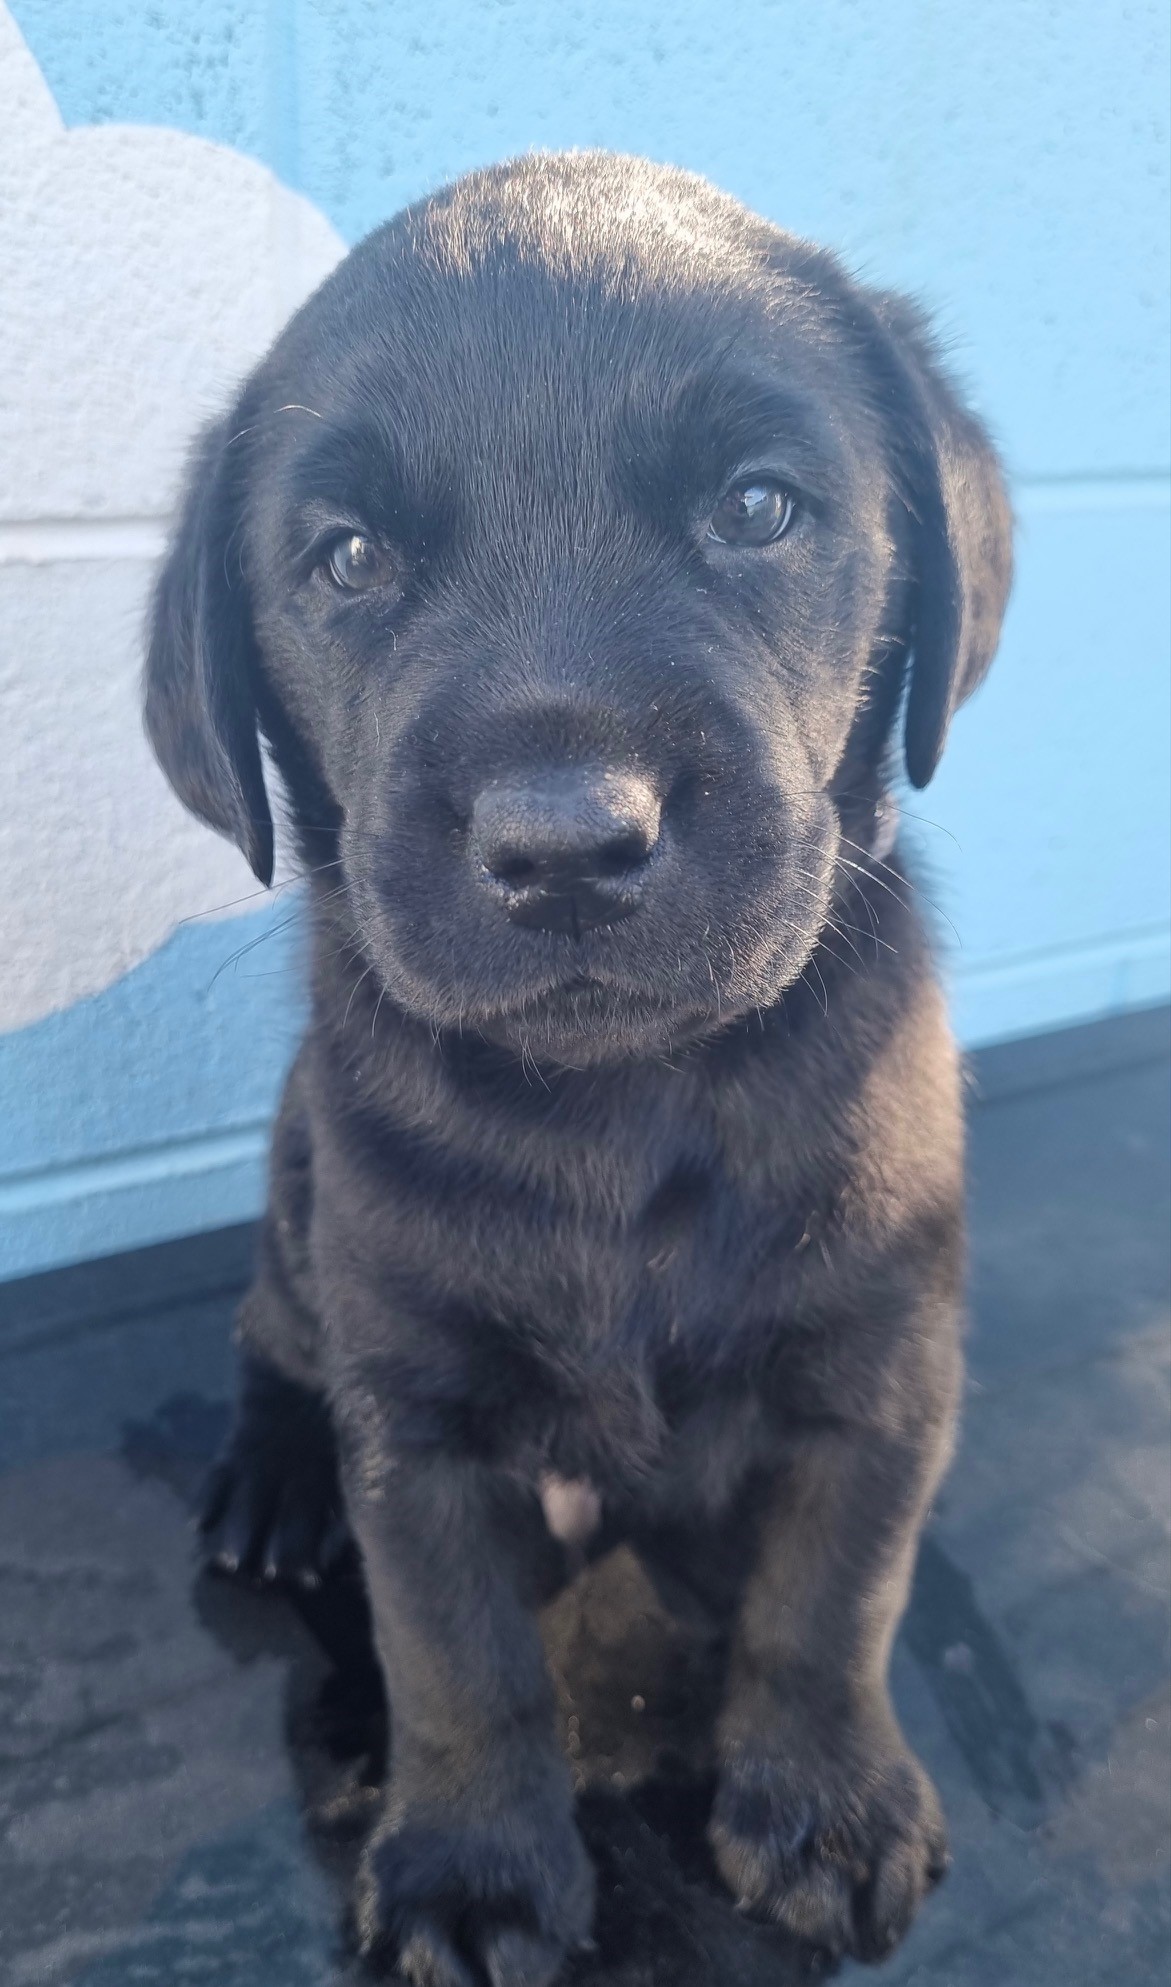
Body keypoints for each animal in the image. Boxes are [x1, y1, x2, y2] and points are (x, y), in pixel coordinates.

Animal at [144, 154, 1005, 1987]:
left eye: (758, 509)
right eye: (346, 559)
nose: (561, 841)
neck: (627, 1105)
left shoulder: (881, 1366)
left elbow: (833, 1596)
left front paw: (826, 1800)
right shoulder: (416, 1415)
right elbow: (454, 1657)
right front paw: (473, 1866)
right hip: (296, 1209)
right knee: (268, 1334)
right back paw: (271, 1476)